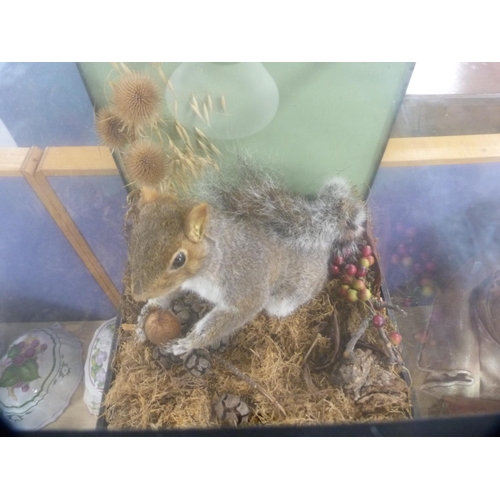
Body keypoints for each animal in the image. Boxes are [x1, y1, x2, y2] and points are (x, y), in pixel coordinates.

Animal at [127, 158, 366, 358]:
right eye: (134, 237)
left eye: (179, 260)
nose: (138, 295)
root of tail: (323, 247)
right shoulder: (181, 283)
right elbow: (167, 294)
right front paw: (146, 313)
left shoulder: (245, 283)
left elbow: (237, 313)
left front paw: (187, 343)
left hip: (288, 296)